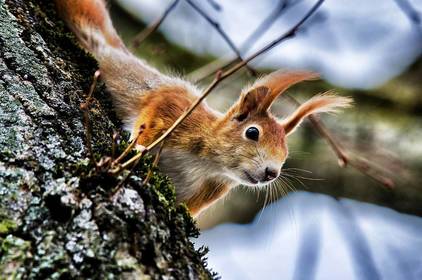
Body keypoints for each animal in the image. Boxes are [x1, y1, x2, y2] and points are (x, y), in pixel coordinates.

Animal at [56, 0, 352, 217]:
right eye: (252, 132)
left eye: (286, 152)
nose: (272, 173)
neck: (207, 162)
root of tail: (114, 49)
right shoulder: (174, 109)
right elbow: (152, 116)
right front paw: (139, 145)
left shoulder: (208, 190)